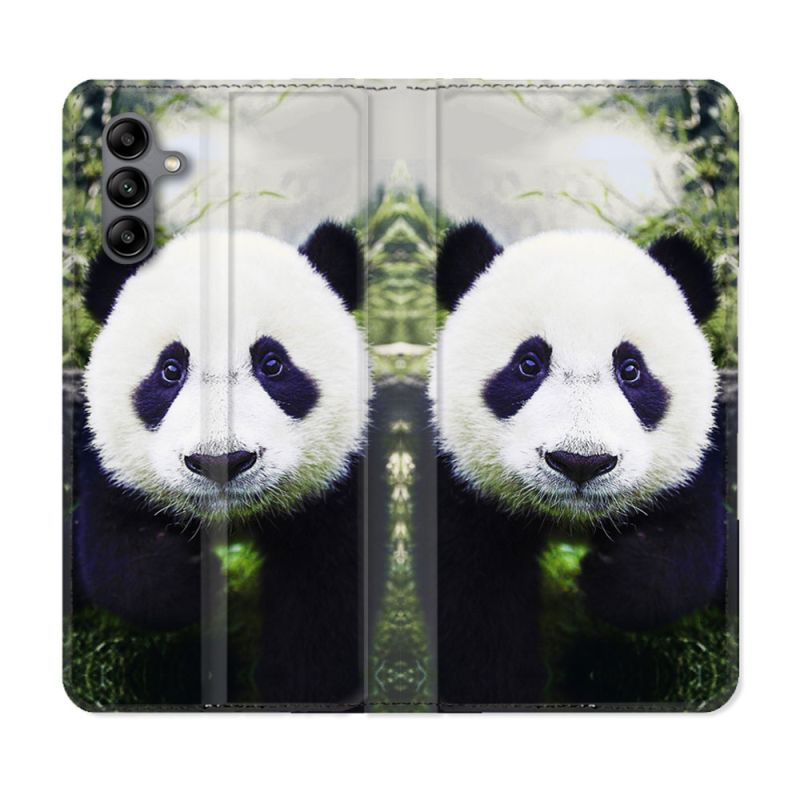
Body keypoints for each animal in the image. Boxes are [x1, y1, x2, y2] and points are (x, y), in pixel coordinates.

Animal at [74, 222, 368, 707]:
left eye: (273, 363)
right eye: (170, 370)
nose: (221, 462)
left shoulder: (337, 488)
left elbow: (326, 600)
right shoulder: (112, 470)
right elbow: (117, 556)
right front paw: (195, 580)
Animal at [432, 222, 726, 706]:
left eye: (631, 370)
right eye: (528, 364)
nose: (580, 463)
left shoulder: (692, 465)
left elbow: (689, 547)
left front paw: (608, 578)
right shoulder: (462, 487)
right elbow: (474, 607)